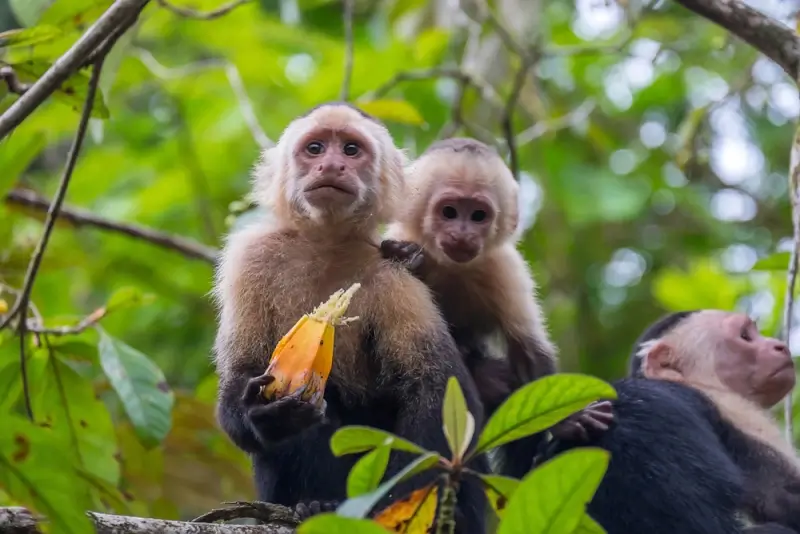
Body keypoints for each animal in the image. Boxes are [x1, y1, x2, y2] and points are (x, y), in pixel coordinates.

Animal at [211, 103, 490, 532]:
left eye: (351, 150)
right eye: (315, 148)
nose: (330, 165)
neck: (326, 247)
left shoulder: (395, 276)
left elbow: (435, 387)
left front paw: (393, 506)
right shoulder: (250, 259)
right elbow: (240, 375)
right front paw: (266, 415)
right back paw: (314, 504)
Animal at [378, 137, 613, 478]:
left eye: (478, 215)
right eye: (449, 212)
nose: (463, 234)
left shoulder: (503, 266)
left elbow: (529, 350)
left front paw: (566, 420)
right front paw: (410, 258)